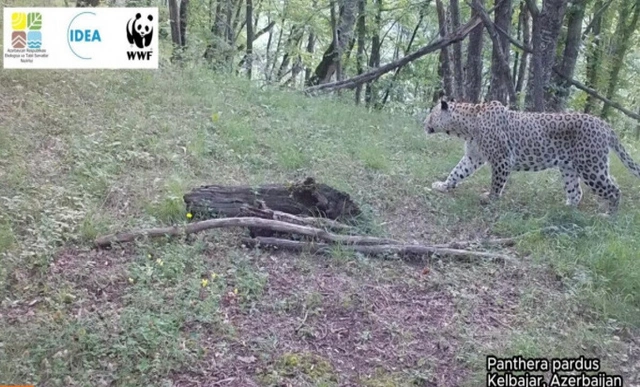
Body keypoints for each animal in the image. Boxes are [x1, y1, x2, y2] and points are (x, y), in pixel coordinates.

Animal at [422, 98, 640, 214]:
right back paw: (565, 210)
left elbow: (496, 183)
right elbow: (457, 172)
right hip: (569, 168)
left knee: (614, 189)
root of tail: (605, 125)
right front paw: (443, 186)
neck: (465, 127)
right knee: (576, 192)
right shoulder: (473, 157)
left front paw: (490, 200)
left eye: (431, 114)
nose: (423, 123)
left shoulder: (502, 159)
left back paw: (609, 215)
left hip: (591, 167)